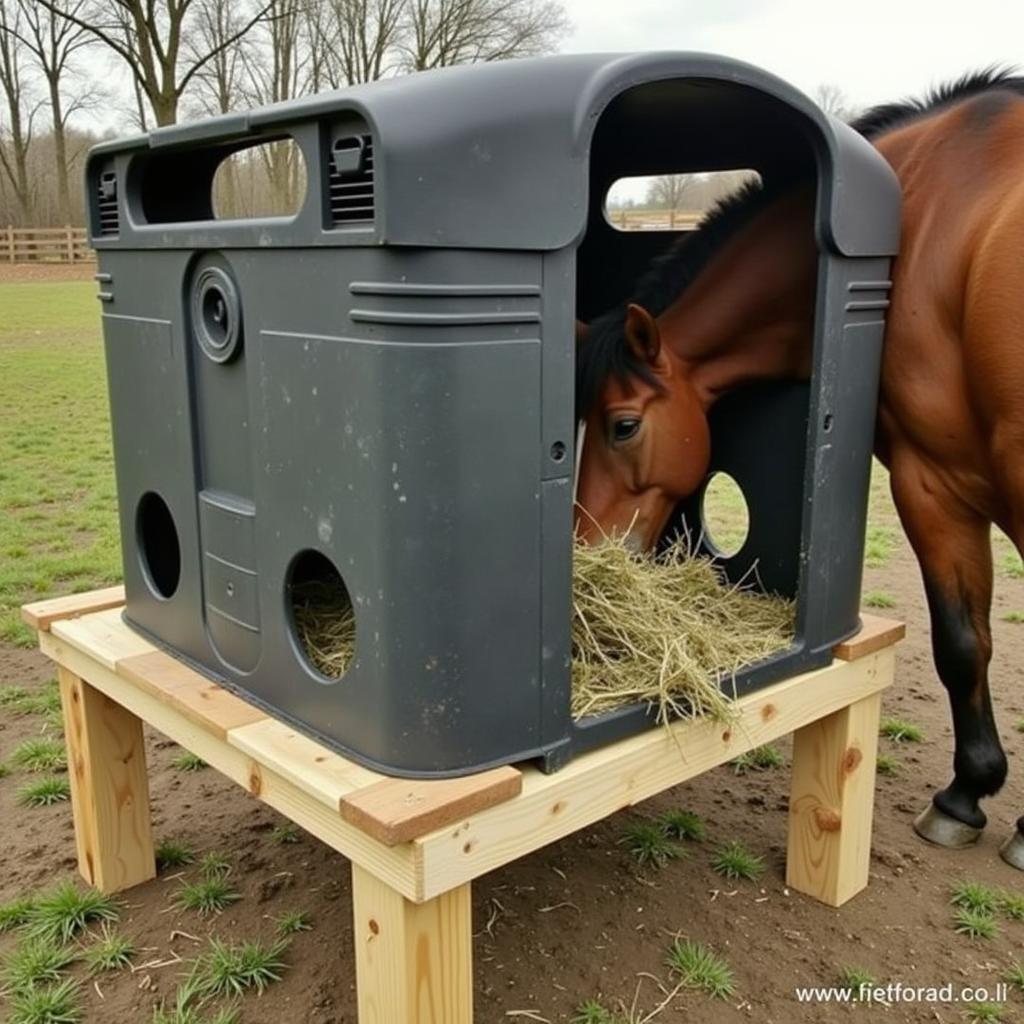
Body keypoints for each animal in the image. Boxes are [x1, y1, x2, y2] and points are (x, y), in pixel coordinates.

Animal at [577, 72, 1024, 868]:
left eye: (623, 425)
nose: (589, 548)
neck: (921, 225)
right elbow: (969, 638)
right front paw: (973, 793)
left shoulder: (931, 478)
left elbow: (960, 642)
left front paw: (970, 795)